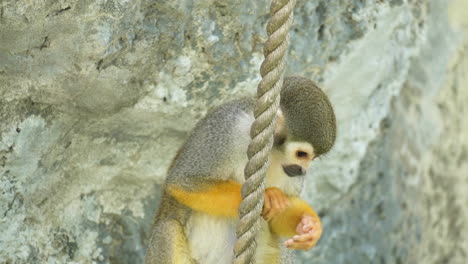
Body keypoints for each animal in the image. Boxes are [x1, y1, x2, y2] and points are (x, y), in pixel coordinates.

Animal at [144, 76, 334, 264]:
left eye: (312, 158)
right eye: (301, 154)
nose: (303, 171)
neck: (273, 151)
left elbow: (277, 218)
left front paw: (308, 224)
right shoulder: (228, 128)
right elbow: (183, 181)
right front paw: (267, 196)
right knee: (168, 229)